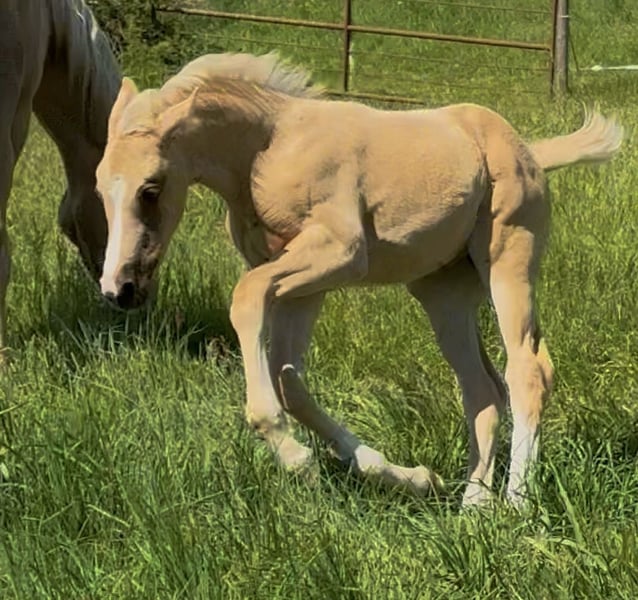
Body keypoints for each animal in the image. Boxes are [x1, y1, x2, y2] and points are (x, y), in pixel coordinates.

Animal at [94, 52, 623, 506]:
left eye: (150, 188)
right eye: (99, 188)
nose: (118, 289)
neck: (268, 148)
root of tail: (527, 150)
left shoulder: (340, 254)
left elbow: (246, 302)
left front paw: (293, 453)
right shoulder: (304, 283)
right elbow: (289, 378)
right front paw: (409, 476)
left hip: (508, 259)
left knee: (527, 371)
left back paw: (515, 505)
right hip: (443, 292)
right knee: (481, 388)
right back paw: (474, 506)